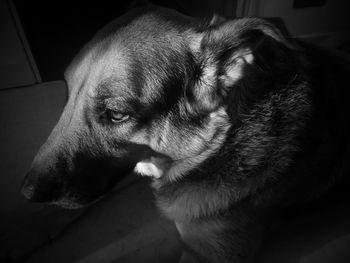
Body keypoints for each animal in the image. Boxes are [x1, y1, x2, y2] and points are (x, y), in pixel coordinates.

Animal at [21, 6, 350, 263]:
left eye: (116, 114)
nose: (28, 192)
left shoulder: (205, 253)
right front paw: (28, 229)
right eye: (68, 95)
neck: (218, 145)